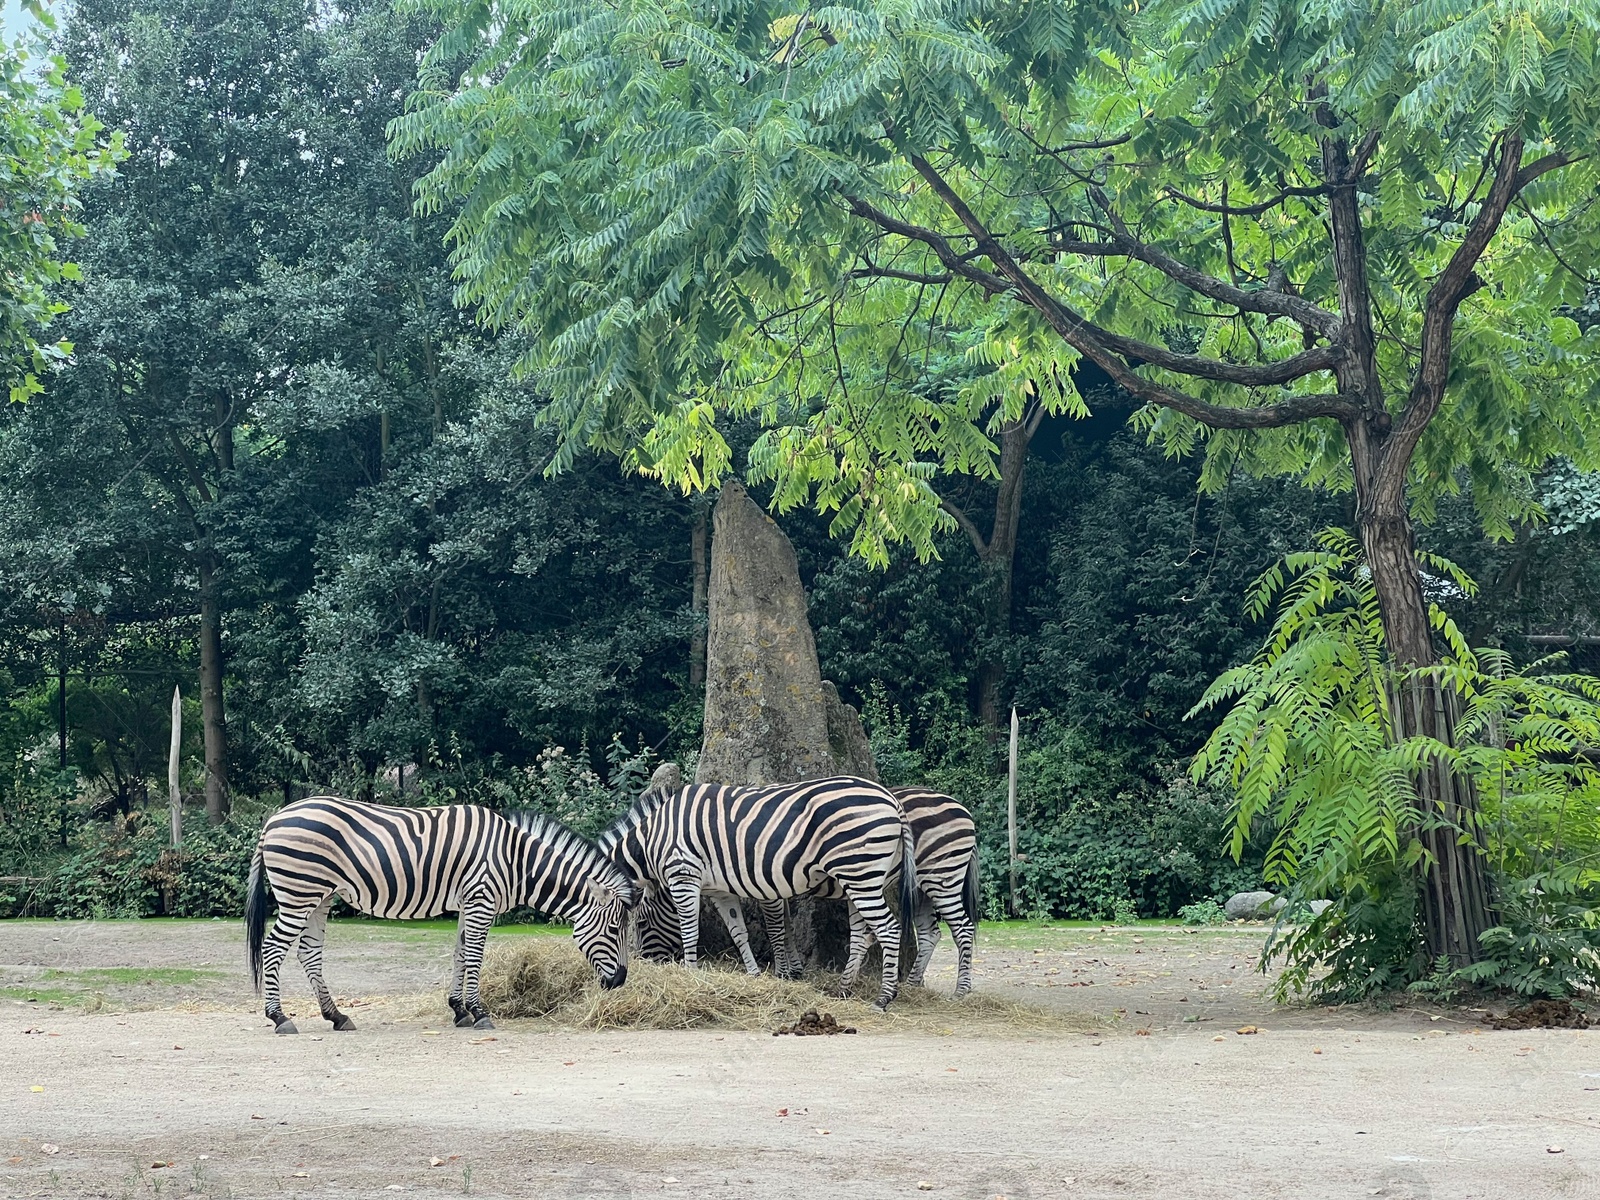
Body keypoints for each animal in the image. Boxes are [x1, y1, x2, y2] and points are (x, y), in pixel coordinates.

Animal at [243, 800, 636, 1036]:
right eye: (613, 928)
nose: (620, 981)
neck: (515, 861)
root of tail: (273, 818)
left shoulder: (469, 902)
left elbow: (461, 954)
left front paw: (459, 1010)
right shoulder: (481, 898)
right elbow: (475, 955)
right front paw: (479, 1012)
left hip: (320, 896)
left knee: (308, 953)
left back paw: (337, 1016)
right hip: (299, 893)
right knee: (274, 948)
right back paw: (279, 1017)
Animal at [598, 774, 915, 1011]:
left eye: (640, 924)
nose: (646, 966)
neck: (653, 841)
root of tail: (892, 800)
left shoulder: (683, 874)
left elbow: (690, 930)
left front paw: (691, 974)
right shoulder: (719, 890)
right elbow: (739, 932)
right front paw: (754, 974)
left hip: (860, 874)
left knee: (888, 929)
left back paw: (884, 998)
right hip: (861, 878)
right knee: (863, 934)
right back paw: (843, 989)